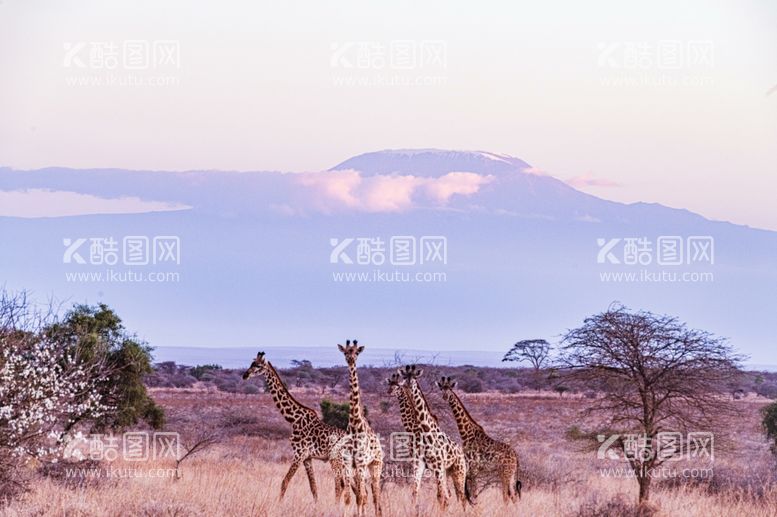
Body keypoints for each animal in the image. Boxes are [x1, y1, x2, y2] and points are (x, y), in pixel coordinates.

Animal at [241, 350, 350, 504]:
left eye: (257, 366)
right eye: (251, 363)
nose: (245, 375)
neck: (293, 419)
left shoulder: (299, 454)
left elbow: (284, 482)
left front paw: (279, 504)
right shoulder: (307, 458)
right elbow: (313, 487)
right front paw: (315, 505)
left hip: (336, 460)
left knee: (339, 485)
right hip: (344, 462)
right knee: (344, 485)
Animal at [338, 338, 384, 516]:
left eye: (356, 352)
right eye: (345, 351)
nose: (350, 360)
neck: (355, 424)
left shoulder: (362, 463)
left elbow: (360, 497)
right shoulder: (348, 463)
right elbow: (349, 497)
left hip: (375, 465)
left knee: (376, 496)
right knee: (364, 495)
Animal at [398, 362, 470, 508]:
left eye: (414, 377)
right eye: (404, 376)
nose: (406, 385)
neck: (424, 429)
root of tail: (461, 453)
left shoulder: (438, 465)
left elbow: (442, 496)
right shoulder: (419, 463)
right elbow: (415, 493)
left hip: (459, 471)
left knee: (461, 496)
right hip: (448, 471)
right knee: (453, 495)